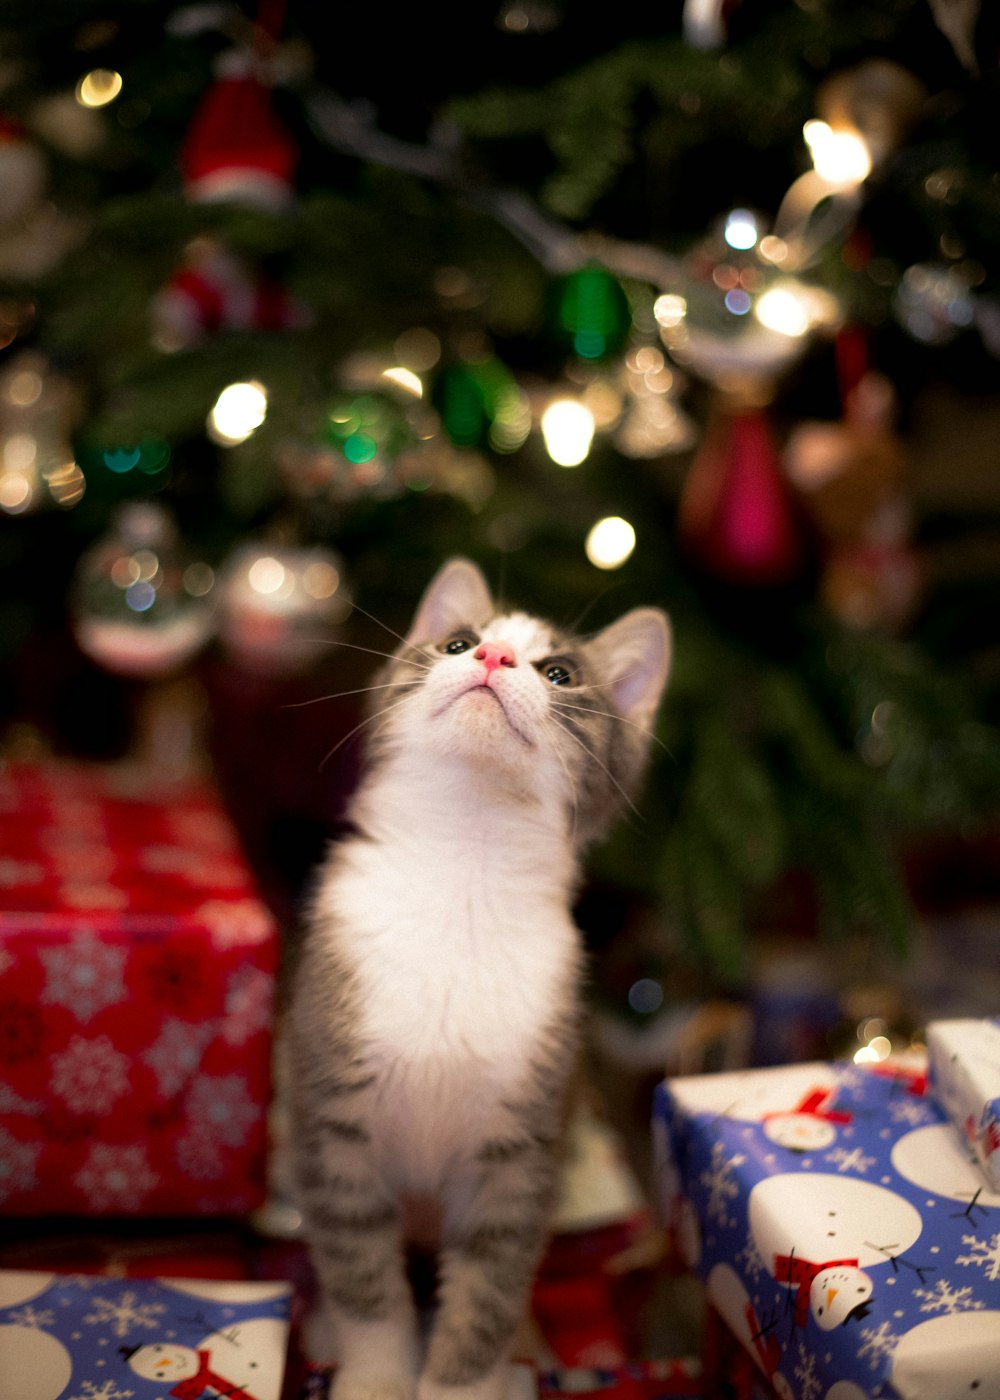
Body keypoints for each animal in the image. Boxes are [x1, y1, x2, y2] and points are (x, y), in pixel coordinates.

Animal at [288, 557, 669, 1400]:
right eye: (458, 641)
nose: (493, 658)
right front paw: (375, 1374)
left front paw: (461, 1379)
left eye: (560, 673)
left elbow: (490, 1288)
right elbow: (361, 1269)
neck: (462, 866)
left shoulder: (523, 1147)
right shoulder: (332, 1123)